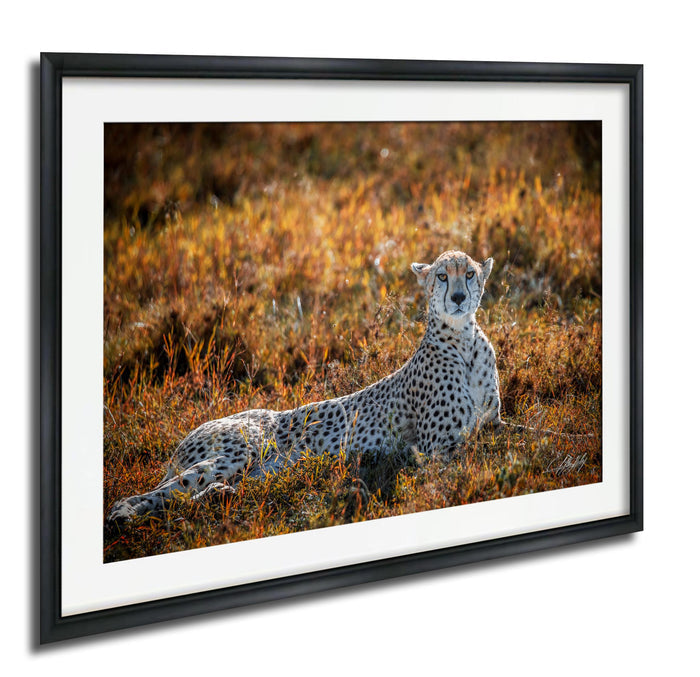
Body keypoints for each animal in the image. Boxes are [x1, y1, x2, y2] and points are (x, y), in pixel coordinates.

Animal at [107, 249, 503, 524]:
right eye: (442, 276)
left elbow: (513, 434)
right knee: (161, 492)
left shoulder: (492, 424)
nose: (458, 298)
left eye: (469, 274)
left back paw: (218, 496)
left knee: (192, 495)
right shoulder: (438, 449)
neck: (464, 340)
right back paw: (122, 516)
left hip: (263, 470)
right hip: (238, 451)